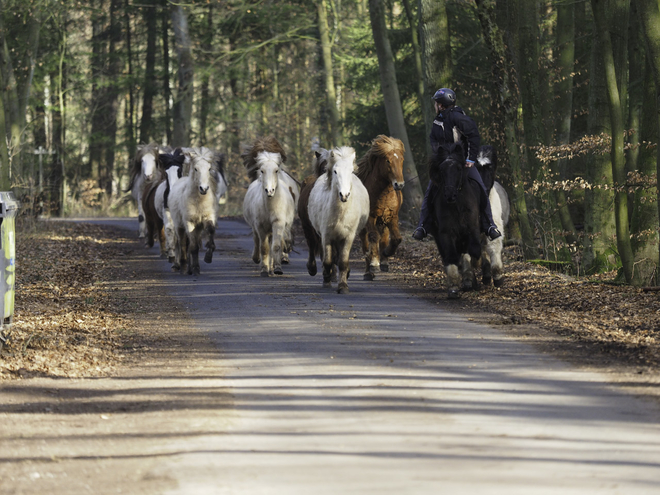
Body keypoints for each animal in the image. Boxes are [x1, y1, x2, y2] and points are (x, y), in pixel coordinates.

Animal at [168, 147, 219, 280]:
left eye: (209, 168)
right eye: (196, 169)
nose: (204, 189)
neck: (198, 201)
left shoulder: (207, 218)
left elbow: (210, 231)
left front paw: (208, 257)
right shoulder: (189, 222)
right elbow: (193, 247)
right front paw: (196, 269)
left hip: (198, 228)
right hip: (179, 225)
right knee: (183, 243)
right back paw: (184, 268)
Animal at [242, 149, 296, 278]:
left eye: (276, 170)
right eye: (262, 170)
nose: (269, 191)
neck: (270, 206)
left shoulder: (278, 224)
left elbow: (275, 246)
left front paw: (277, 268)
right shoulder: (260, 226)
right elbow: (264, 248)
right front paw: (264, 269)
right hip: (256, 227)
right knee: (256, 240)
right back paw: (257, 259)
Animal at [306, 147, 368, 294]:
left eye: (351, 171)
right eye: (335, 171)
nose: (344, 195)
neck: (341, 213)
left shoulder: (348, 237)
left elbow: (343, 262)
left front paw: (343, 286)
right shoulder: (326, 236)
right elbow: (328, 260)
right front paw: (327, 279)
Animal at [358, 136, 404, 280]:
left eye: (401, 159)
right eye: (388, 161)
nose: (399, 184)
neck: (383, 193)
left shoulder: (392, 217)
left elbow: (396, 238)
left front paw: (386, 254)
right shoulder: (371, 217)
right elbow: (374, 237)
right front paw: (374, 263)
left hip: (383, 222)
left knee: (384, 237)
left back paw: (384, 262)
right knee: (365, 244)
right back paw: (368, 272)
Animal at [426, 143, 482, 298]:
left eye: (458, 168)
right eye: (441, 170)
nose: (450, 195)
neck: (457, 205)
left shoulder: (472, 229)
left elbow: (474, 250)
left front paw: (472, 273)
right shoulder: (445, 233)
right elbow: (451, 256)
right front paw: (453, 288)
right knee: (449, 256)